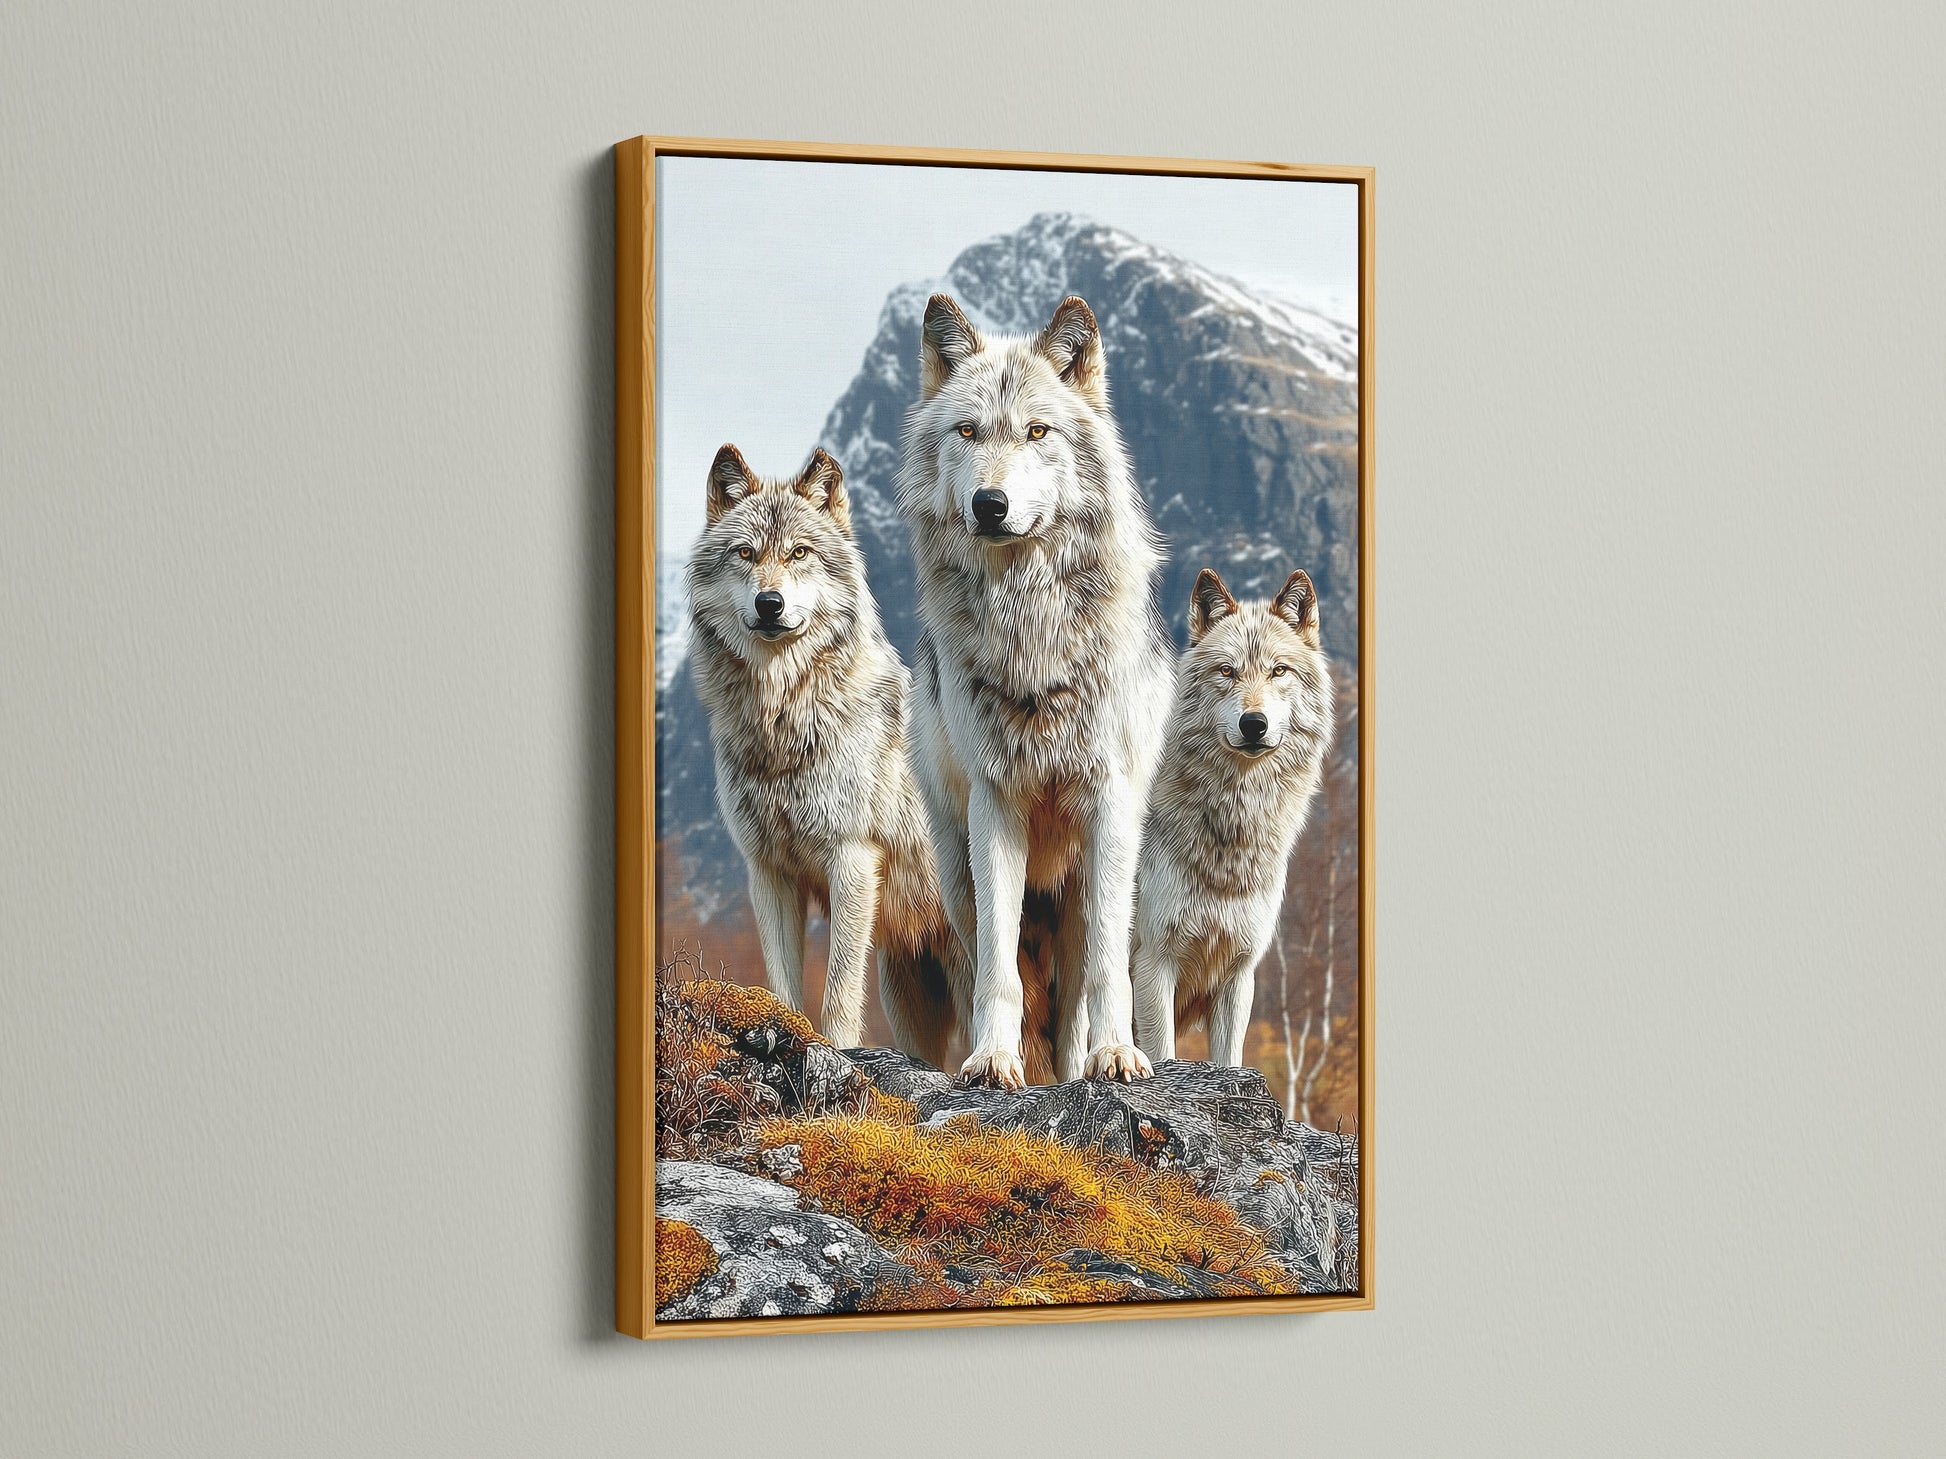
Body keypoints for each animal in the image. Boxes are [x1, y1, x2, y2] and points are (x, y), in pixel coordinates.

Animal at [685, 443, 959, 1060]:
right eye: (745, 553)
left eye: (799, 553)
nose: (769, 603)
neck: (784, 720)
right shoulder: (767, 871)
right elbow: (783, 981)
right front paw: (781, 1032)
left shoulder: (851, 857)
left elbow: (837, 986)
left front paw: (833, 1049)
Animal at [898, 293, 1174, 1089]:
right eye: (968, 431)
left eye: (1037, 432)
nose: (990, 503)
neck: (1031, 632)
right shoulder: (997, 803)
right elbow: (999, 972)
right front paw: (992, 1060)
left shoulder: (1108, 801)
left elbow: (1107, 972)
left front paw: (1116, 1055)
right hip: (956, 874)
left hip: (1088, 886)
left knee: (1079, 989)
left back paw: (1086, 1059)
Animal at [1131, 567, 1334, 1069]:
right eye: (1227, 671)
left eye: (1279, 670)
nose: (1253, 724)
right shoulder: (1153, 964)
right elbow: (1161, 1056)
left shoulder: (1239, 972)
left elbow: (1230, 1060)